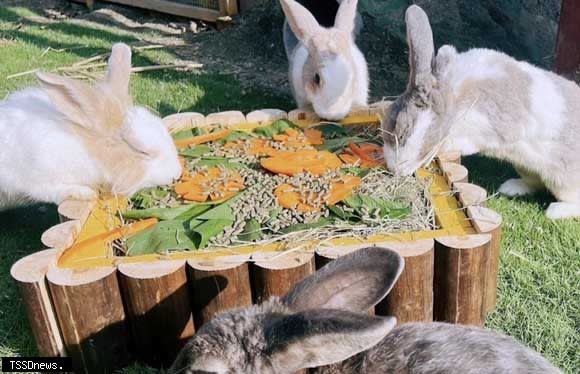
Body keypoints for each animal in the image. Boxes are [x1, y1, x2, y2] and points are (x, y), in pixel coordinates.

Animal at [0, 43, 181, 210]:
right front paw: (84, 193)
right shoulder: (35, 177)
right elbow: (49, 190)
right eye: (141, 151)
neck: (87, 148)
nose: (176, 174)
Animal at [380, 5, 580, 219]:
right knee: (533, 182)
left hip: (563, 181)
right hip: (525, 167)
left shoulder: (492, 127)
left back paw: (555, 211)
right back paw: (510, 187)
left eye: (402, 132)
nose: (393, 170)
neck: (454, 96)